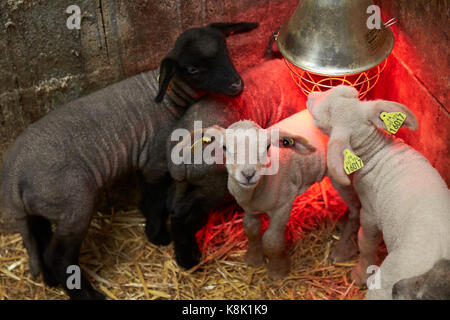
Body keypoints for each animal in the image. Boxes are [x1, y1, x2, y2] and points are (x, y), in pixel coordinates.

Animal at [0, 22, 258, 300]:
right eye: (193, 68)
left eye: (225, 49)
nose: (236, 85)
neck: (168, 96)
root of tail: (14, 177)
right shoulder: (154, 159)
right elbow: (154, 199)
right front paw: (157, 235)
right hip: (72, 205)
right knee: (58, 256)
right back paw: (87, 294)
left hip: (38, 208)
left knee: (40, 242)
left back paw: (51, 282)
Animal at [306, 85, 450, 300]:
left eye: (322, 117)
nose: (310, 95)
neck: (376, 151)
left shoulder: (369, 213)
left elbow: (365, 243)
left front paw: (358, 274)